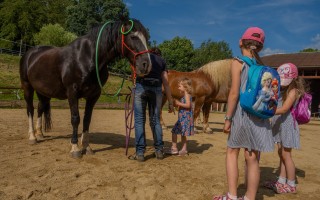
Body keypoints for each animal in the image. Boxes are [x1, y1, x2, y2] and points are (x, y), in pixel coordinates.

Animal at [19, 18, 152, 158]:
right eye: (133, 36)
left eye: (146, 38)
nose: (146, 65)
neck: (87, 57)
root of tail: (29, 54)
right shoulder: (72, 92)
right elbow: (75, 118)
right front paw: (75, 148)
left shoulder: (93, 95)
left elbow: (87, 119)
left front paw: (86, 146)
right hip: (27, 87)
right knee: (30, 109)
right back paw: (32, 137)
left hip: (43, 92)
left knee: (40, 108)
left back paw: (39, 133)